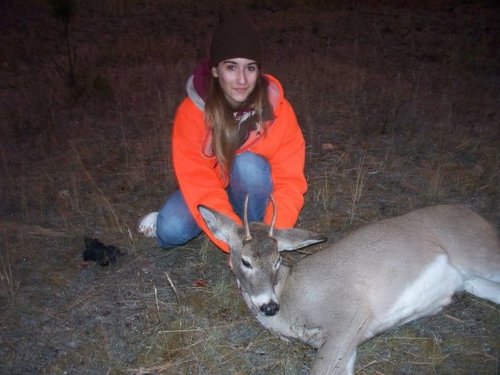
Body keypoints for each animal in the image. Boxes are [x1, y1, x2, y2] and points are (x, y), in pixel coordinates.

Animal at [198, 198, 500, 374]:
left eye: (278, 259)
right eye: (245, 261)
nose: (269, 306)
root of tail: (472, 213)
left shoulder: (349, 314)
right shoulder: (348, 341)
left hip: (479, 253)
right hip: (472, 279)